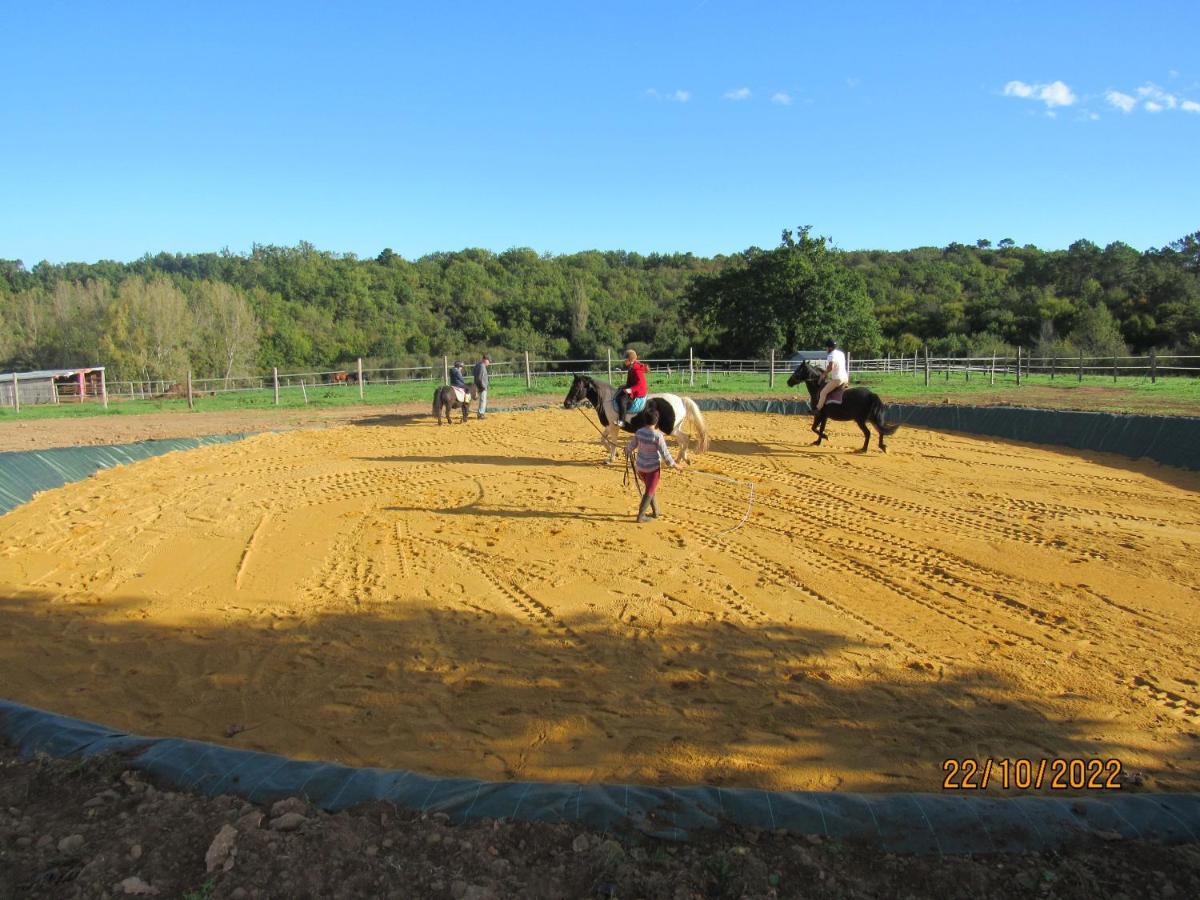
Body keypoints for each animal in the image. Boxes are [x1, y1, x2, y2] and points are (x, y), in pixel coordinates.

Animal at [564, 376, 710, 468]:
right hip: (674, 428)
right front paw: (615, 454)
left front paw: (611, 459)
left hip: (670, 428)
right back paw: (681, 459)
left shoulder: (614, 427)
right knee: (682, 440)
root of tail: (681, 400)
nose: (566, 403)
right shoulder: (609, 426)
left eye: (576, 388)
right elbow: (603, 439)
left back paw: (680, 459)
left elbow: (613, 441)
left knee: (685, 438)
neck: (607, 399)